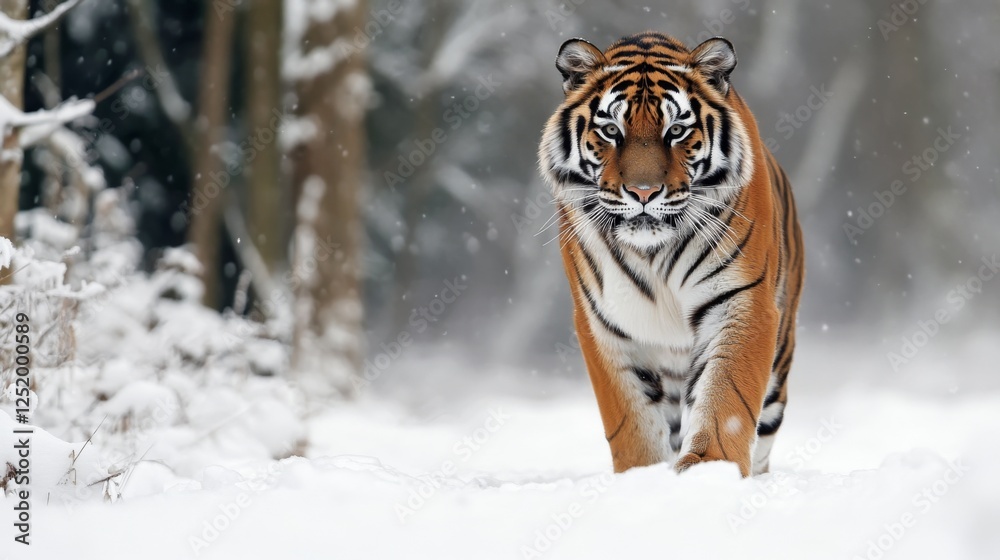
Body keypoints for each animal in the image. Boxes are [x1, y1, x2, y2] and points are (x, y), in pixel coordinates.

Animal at [538, 31, 804, 477]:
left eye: (676, 130)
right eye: (611, 130)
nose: (643, 192)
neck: (653, 253)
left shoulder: (740, 301)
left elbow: (726, 400)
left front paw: (708, 472)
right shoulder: (605, 321)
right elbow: (631, 420)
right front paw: (641, 476)